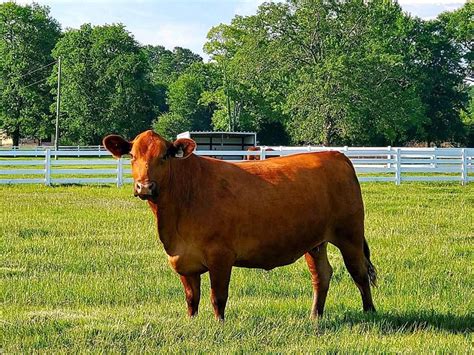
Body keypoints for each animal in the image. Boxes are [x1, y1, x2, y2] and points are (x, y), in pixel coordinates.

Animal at [103, 130, 378, 320]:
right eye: (132, 156)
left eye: (163, 157)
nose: (144, 186)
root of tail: (334, 154)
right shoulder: (183, 259)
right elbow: (192, 298)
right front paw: (192, 322)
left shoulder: (221, 256)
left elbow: (218, 297)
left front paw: (219, 325)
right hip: (315, 242)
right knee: (321, 275)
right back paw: (314, 316)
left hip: (350, 235)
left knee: (359, 272)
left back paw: (370, 312)